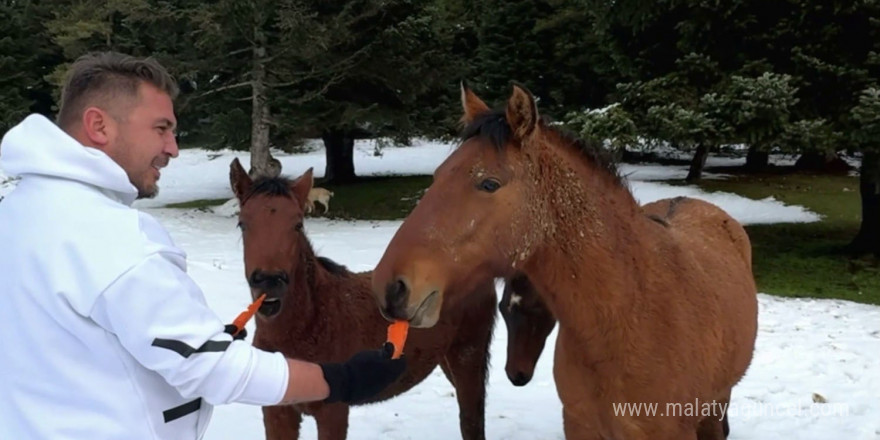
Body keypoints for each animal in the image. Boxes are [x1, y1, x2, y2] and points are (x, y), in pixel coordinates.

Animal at [230, 157, 498, 440]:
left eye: (298, 224)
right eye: (242, 224)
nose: (269, 282)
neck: (311, 322)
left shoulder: (333, 413)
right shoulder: (277, 413)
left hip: (468, 354)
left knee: (471, 421)